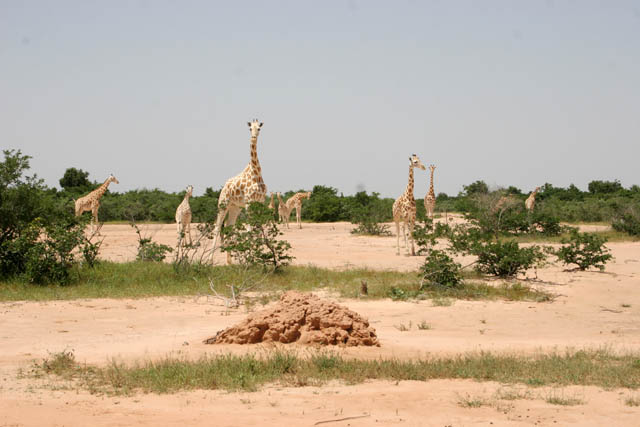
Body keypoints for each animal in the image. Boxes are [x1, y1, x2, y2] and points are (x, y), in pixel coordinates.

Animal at [211, 119, 268, 264]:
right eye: (250, 129)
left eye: (259, 128)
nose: (253, 137)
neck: (256, 173)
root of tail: (224, 187)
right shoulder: (249, 202)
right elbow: (249, 229)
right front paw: (250, 260)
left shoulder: (260, 202)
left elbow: (258, 228)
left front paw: (258, 259)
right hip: (223, 204)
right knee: (217, 227)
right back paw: (210, 260)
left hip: (235, 207)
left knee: (229, 226)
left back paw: (230, 262)